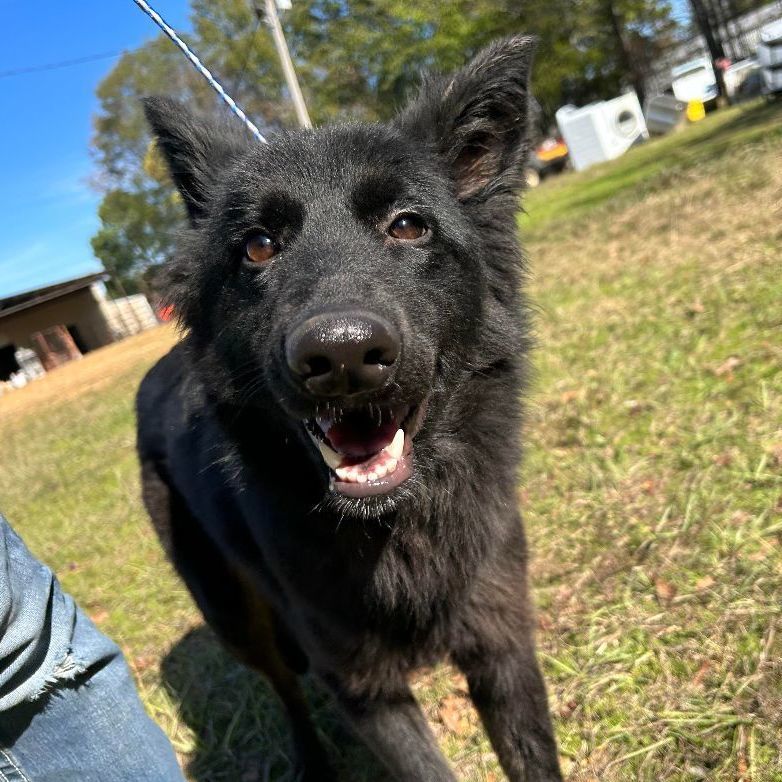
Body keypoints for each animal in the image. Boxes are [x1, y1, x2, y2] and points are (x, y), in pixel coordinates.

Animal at [136, 36, 564, 782]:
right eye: (258, 245)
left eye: (408, 227)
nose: (342, 356)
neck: (396, 526)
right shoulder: (366, 691)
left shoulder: (503, 646)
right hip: (234, 615)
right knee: (282, 688)